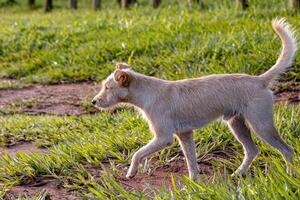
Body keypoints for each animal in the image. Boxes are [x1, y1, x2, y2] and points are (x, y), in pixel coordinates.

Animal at [93, 18, 298, 180]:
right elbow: (191, 163)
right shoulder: (185, 134)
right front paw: (193, 184)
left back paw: (290, 176)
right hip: (237, 124)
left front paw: (131, 172)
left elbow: (137, 153)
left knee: (287, 150)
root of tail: (259, 80)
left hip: (261, 125)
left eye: (107, 88)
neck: (148, 92)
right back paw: (238, 174)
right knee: (252, 150)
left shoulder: (164, 138)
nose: (93, 102)